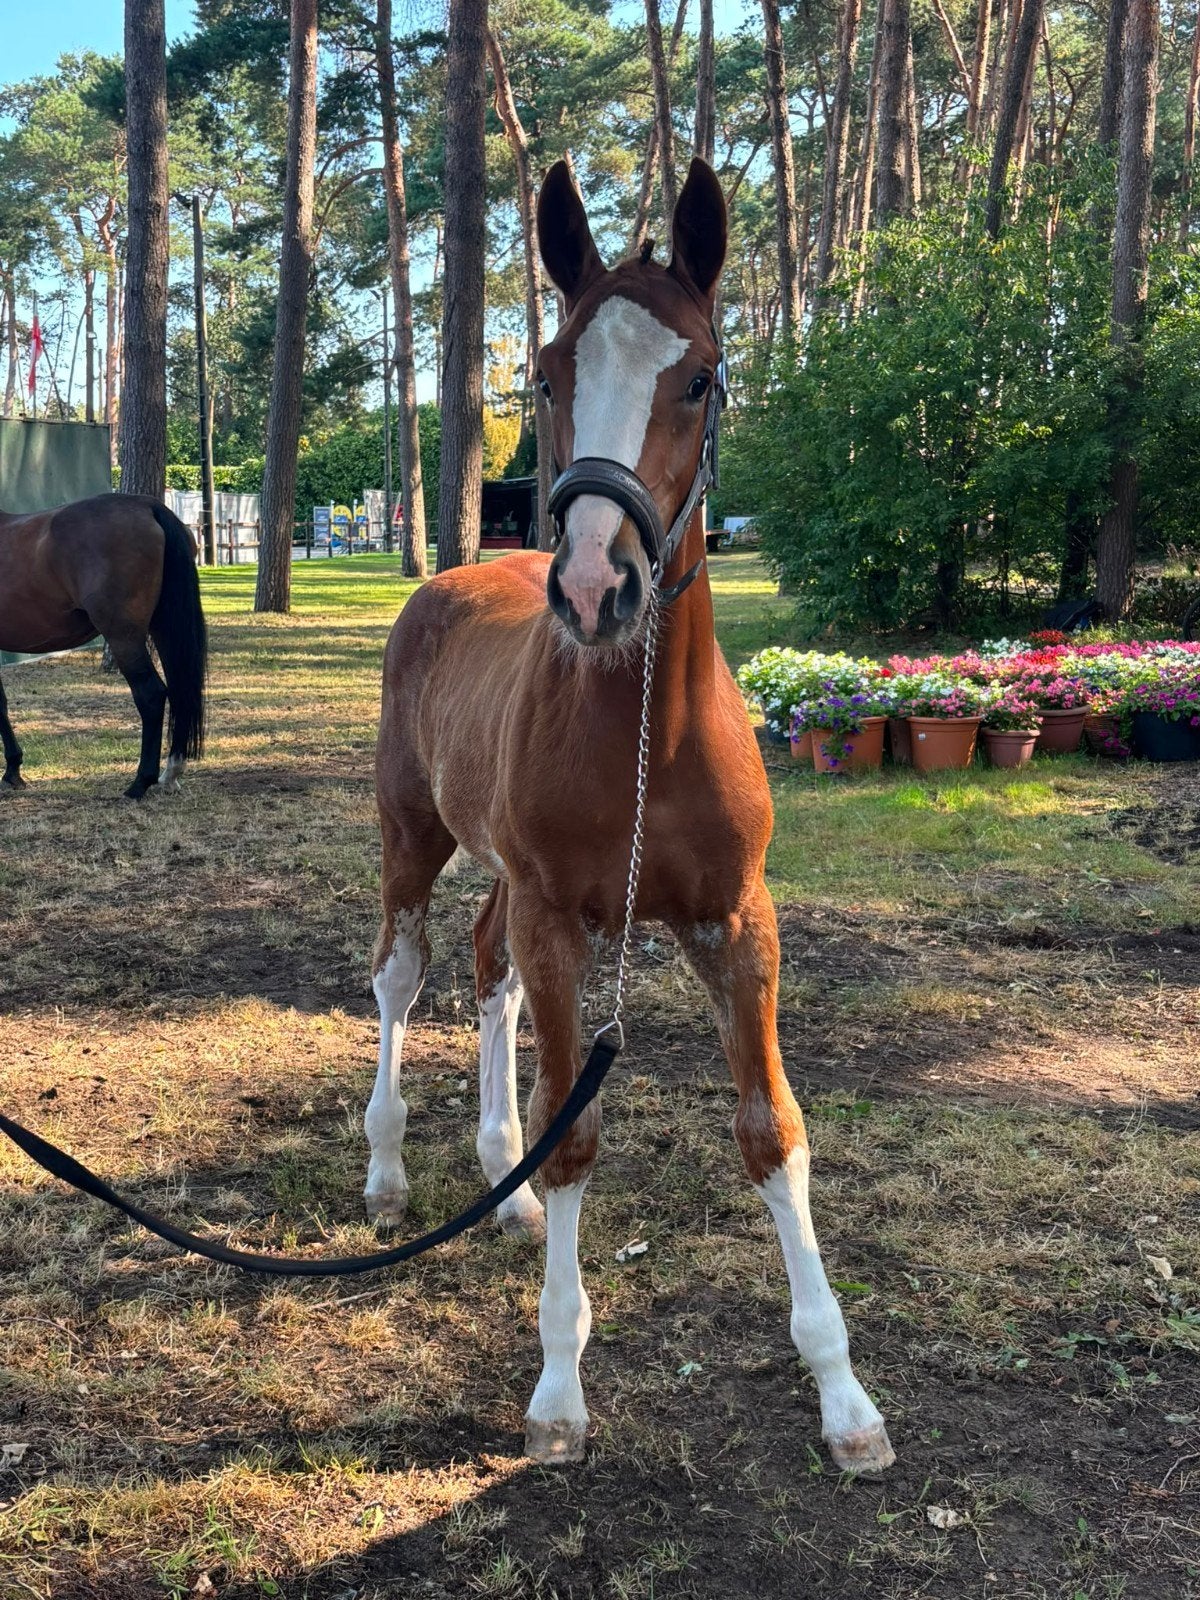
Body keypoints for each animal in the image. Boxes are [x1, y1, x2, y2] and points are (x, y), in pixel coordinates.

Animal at [0, 495, 207, 799]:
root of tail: (147, 506)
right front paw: (13, 770)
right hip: (165, 628)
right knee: (180, 689)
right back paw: (171, 773)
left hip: (124, 637)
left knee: (151, 694)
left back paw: (139, 783)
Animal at [364, 158, 896, 1475]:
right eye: (551, 374)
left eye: (698, 374)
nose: (597, 586)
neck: (650, 731)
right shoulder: (566, 918)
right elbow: (577, 1130)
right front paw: (559, 1388)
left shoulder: (734, 924)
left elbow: (772, 1132)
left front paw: (844, 1394)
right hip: (414, 836)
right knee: (403, 971)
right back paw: (388, 1165)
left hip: (507, 875)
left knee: (486, 968)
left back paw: (500, 1180)